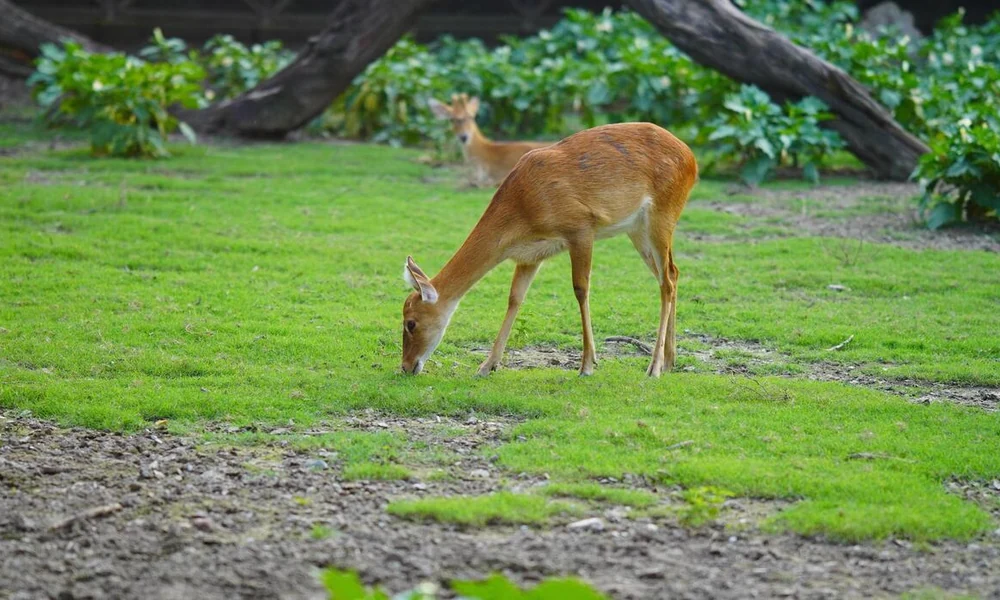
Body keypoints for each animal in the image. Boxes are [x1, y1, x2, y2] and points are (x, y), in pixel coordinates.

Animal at [400, 122, 698, 378]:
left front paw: (587, 364)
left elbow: (580, 289)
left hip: (661, 217)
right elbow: (515, 298)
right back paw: (669, 361)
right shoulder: (529, 256)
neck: (524, 204)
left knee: (667, 281)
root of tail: (691, 158)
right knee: (672, 273)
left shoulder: (581, 230)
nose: (406, 366)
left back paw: (654, 367)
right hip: (637, 230)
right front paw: (487, 366)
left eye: (411, 322)